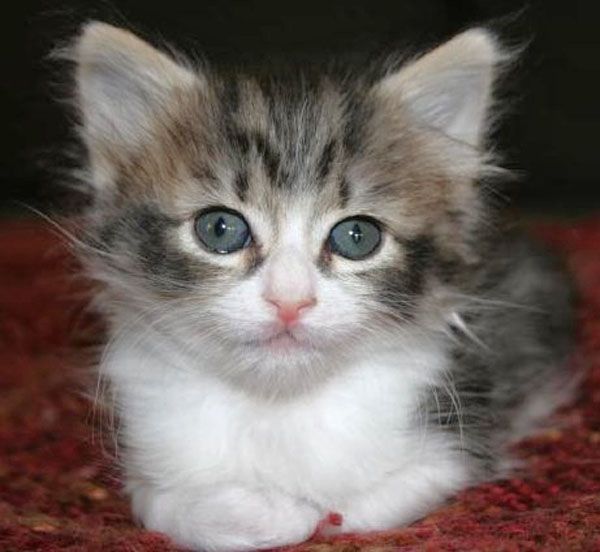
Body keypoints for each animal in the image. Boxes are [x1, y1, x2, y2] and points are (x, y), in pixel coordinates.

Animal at [70, 21, 576, 552]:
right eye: (220, 230)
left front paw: (318, 513)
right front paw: (270, 514)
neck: (278, 404)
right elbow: (163, 506)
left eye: (356, 237)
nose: (290, 300)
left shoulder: (457, 435)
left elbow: (377, 500)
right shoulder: (148, 451)